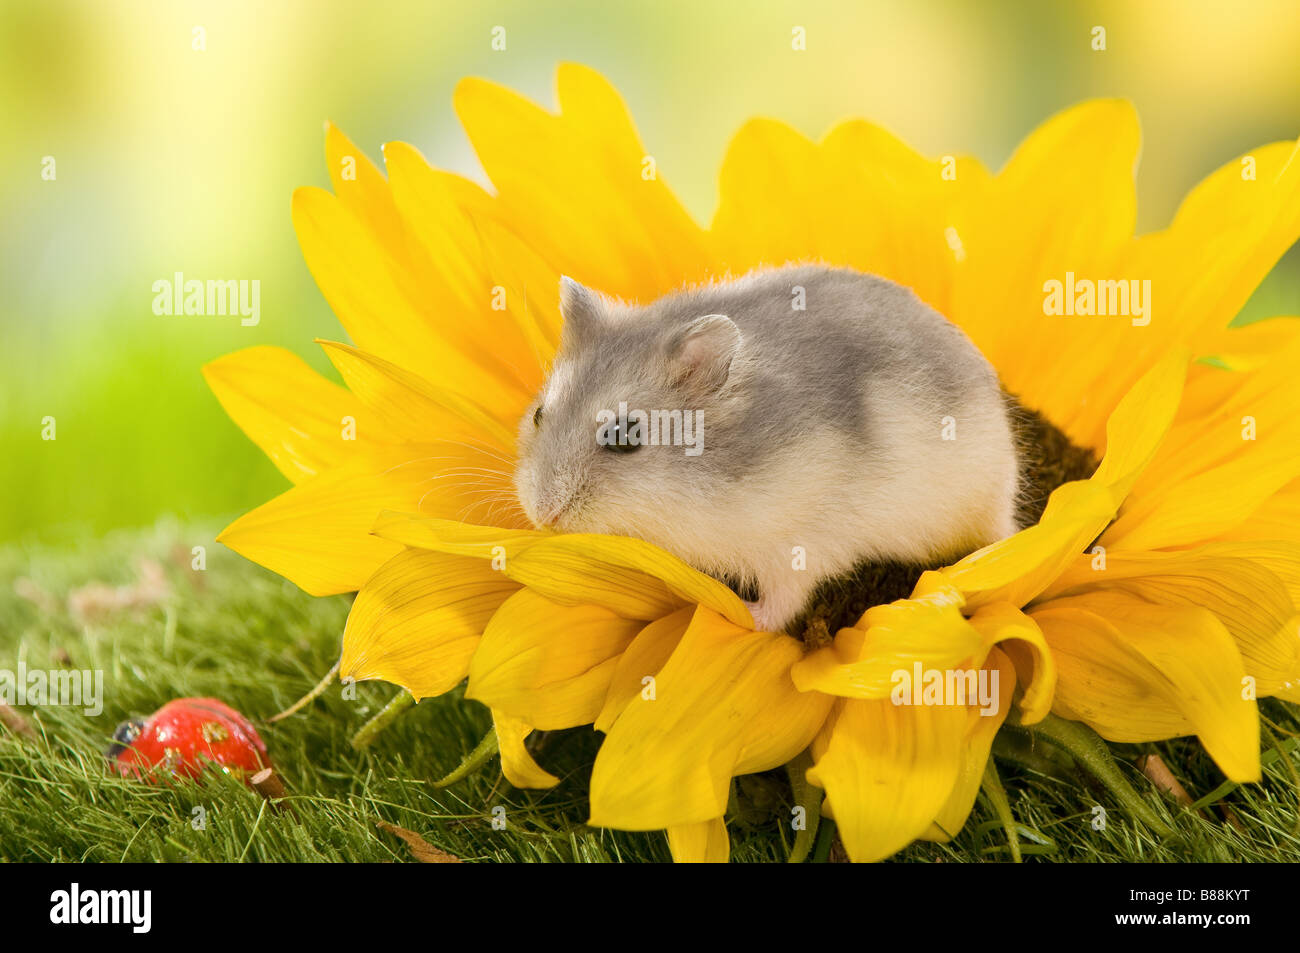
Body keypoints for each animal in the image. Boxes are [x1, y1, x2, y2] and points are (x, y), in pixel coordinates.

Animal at [513, 264, 1020, 635]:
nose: (543, 516)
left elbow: (782, 602)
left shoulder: (800, 545)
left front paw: (739, 614)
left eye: (625, 437)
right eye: (538, 415)